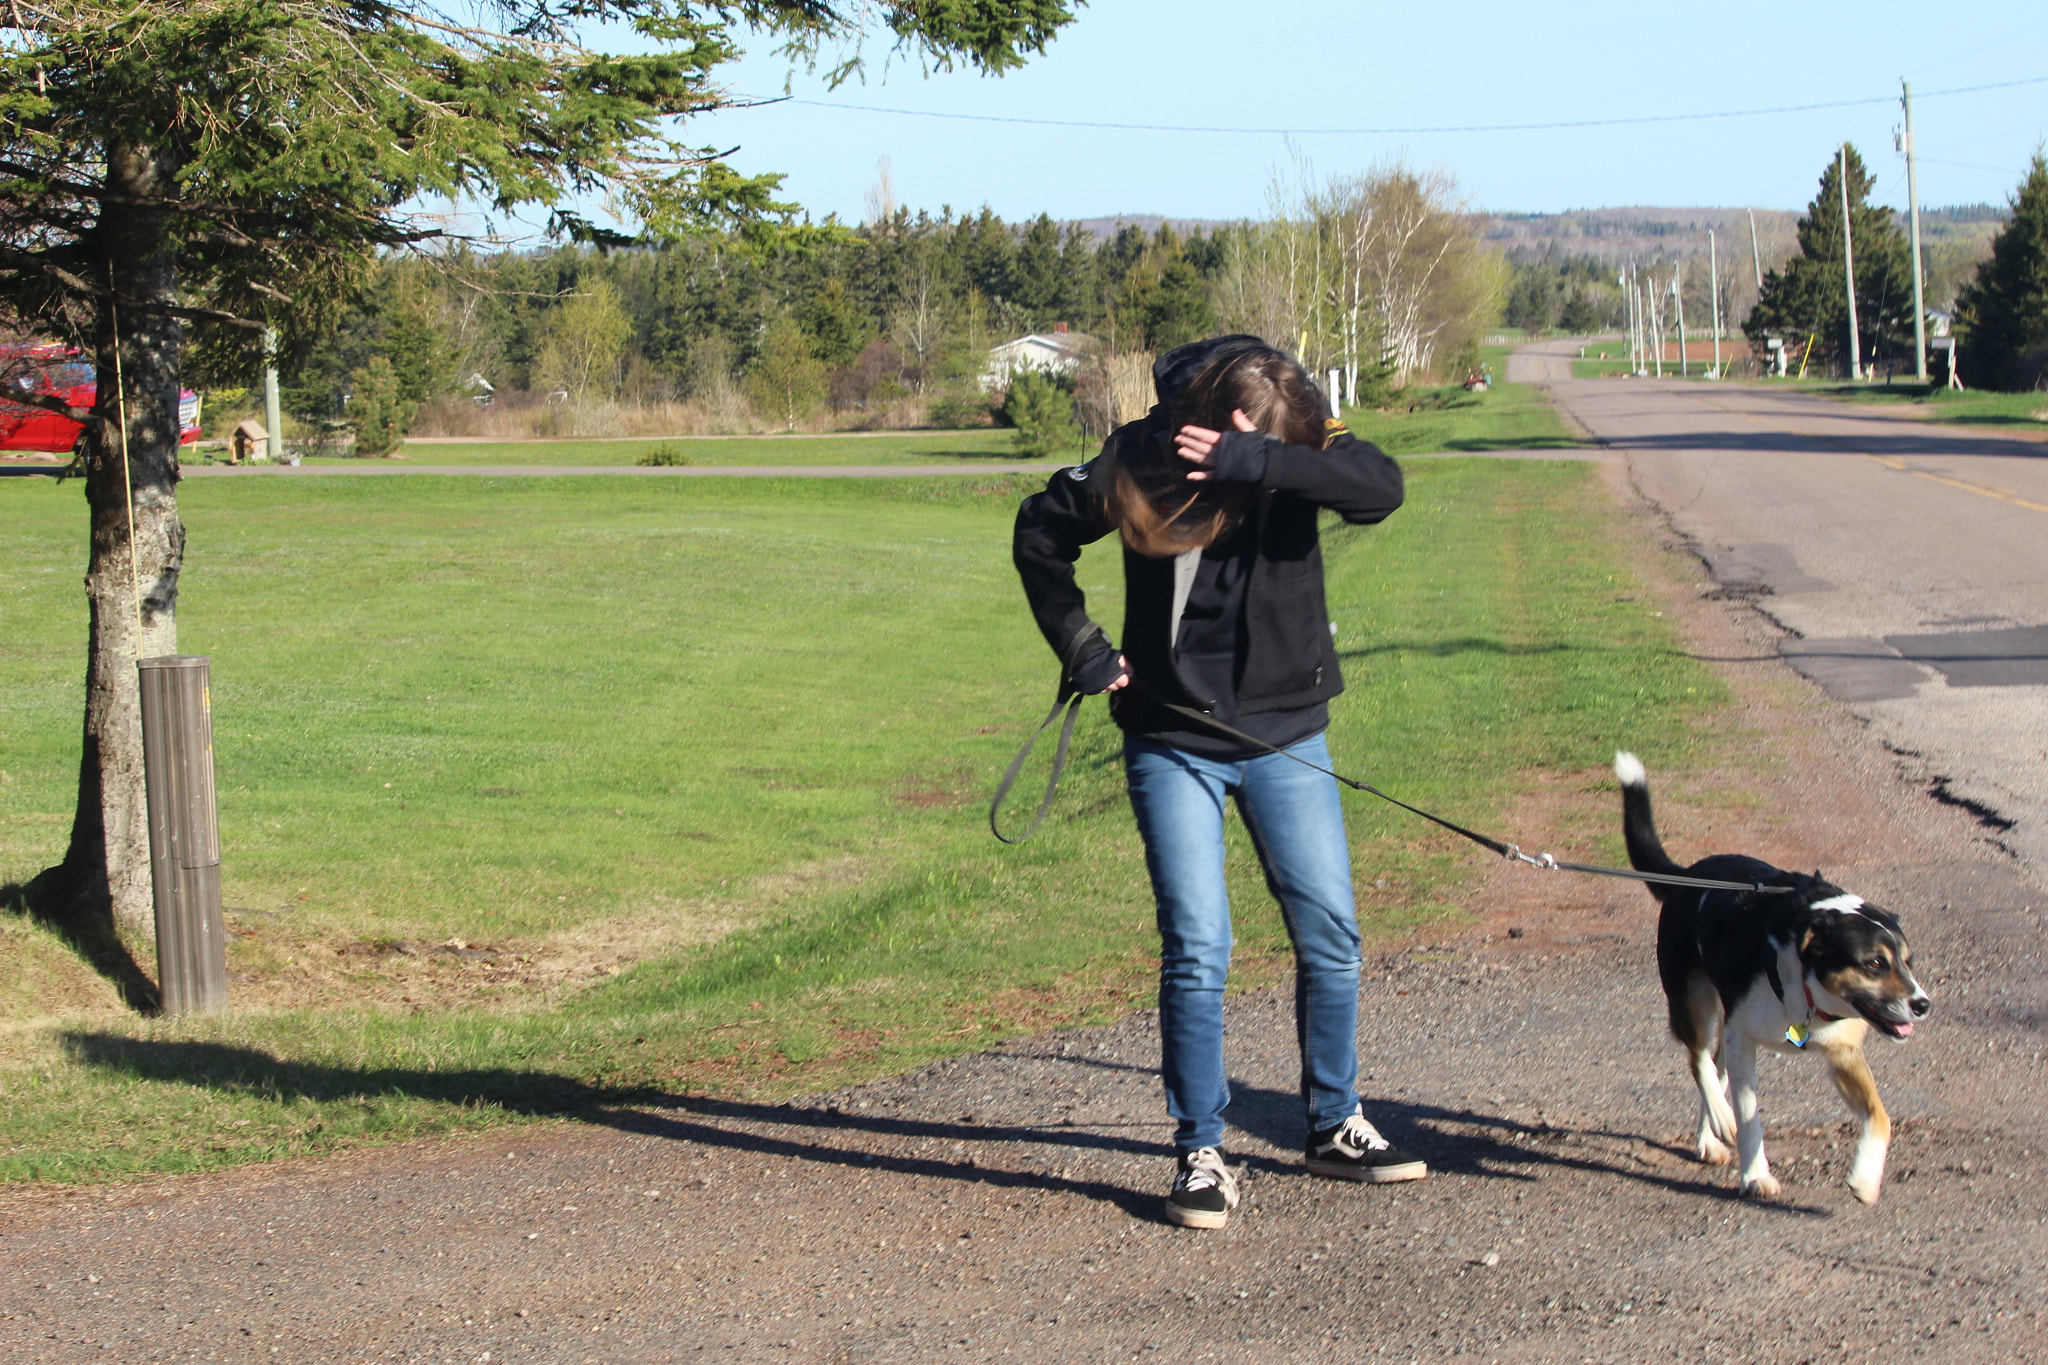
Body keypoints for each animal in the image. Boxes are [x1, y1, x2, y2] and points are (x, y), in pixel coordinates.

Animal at [1613, 753, 1933, 1203]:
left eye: (1907, 962)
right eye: (1874, 964)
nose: (1922, 1005)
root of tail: (1688, 875)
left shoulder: (1843, 1054)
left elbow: (1880, 1117)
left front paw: (1866, 1178)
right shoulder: (1744, 1038)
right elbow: (1749, 1119)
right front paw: (1755, 1176)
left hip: (1726, 1025)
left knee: (1714, 1065)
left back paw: (1709, 1136)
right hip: (1694, 1002)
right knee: (1699, 1060)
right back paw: (1719, 1117)